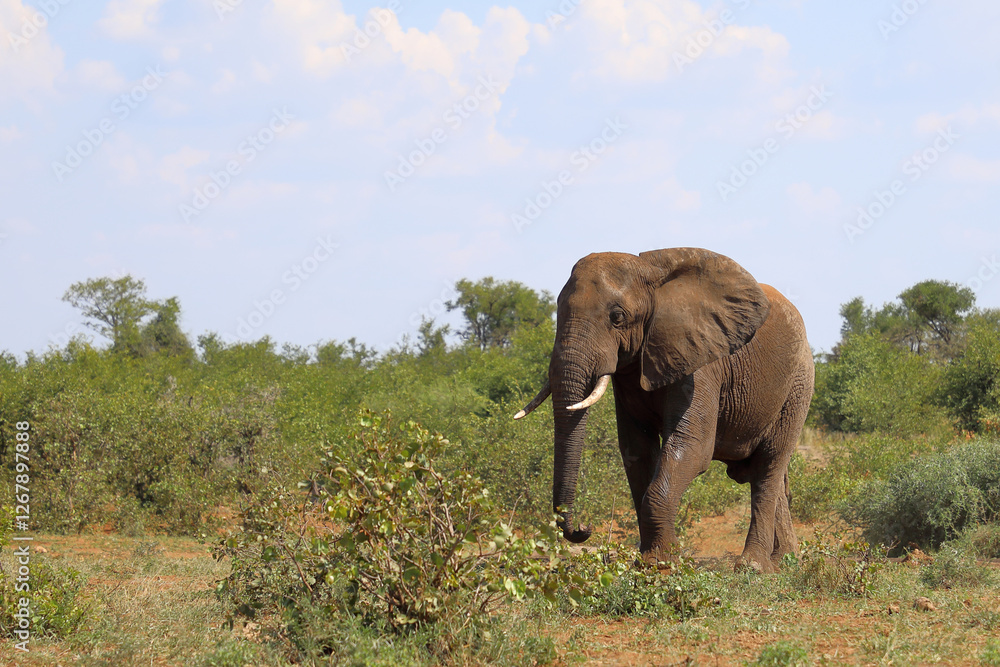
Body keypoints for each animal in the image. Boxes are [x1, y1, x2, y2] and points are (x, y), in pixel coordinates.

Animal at [515, 248, 814, 572]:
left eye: (617, 317)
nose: (583, 529)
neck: (649, 272)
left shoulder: (700, 363)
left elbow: (691, 448)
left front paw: (660, 563)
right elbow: (636, 452)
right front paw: (648, 561)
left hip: (797, 387)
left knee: (769, 467)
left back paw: (754, 567)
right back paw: (785, 562)